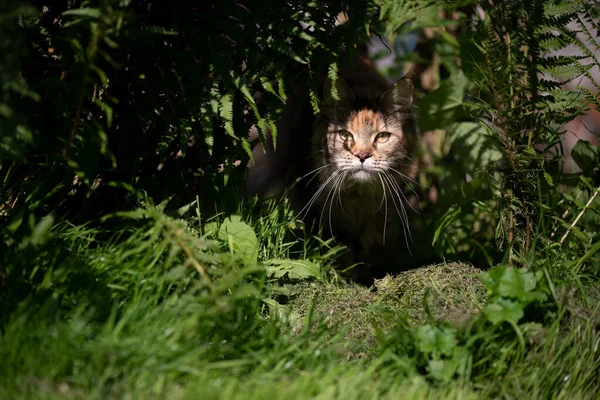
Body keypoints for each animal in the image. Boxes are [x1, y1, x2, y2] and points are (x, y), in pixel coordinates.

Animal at [246, 52, 420, 284]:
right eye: (345, 135)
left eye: (382, 137)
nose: (362, 155)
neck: (358, 198)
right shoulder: (324, 213)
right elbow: (339, 250)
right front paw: (345, 279)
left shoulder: (383, 213)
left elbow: (372, 248)